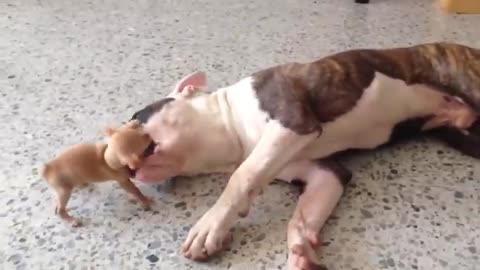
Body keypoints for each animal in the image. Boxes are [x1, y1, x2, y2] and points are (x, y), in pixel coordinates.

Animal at [127, 42, 480, 268]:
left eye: (134, 116)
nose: (128, 171)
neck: (231, 129)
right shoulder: (325, 174)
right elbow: (301, 217)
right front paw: (301, 250)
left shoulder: (293, 124)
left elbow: (244, 175)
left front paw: (210, 226)